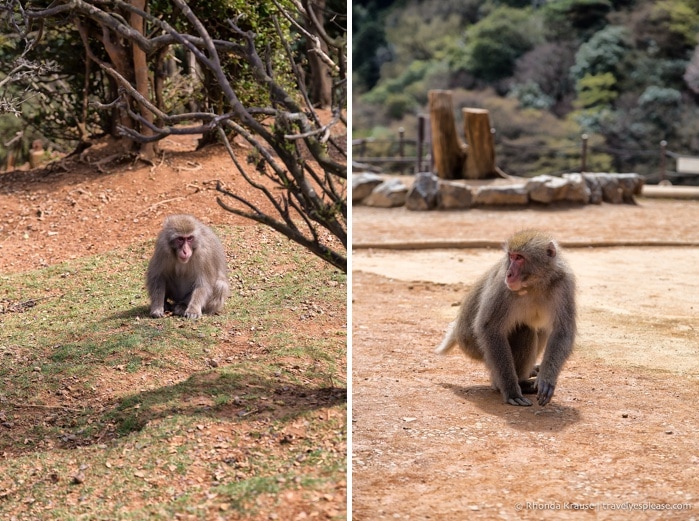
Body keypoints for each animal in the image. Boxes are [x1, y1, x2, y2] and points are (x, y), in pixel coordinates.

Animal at [438, 231, 580, 406]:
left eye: (519, 258)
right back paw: (514, 384)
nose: (509, 273)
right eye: (511, 256)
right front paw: (510, 389)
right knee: (524, 331)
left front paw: (547, 379)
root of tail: (457, 330)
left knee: (540, 330)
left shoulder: (564, 283)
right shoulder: (503, 286)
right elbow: (490, 328)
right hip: (473, 346)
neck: (535, 284)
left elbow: (562, 331)